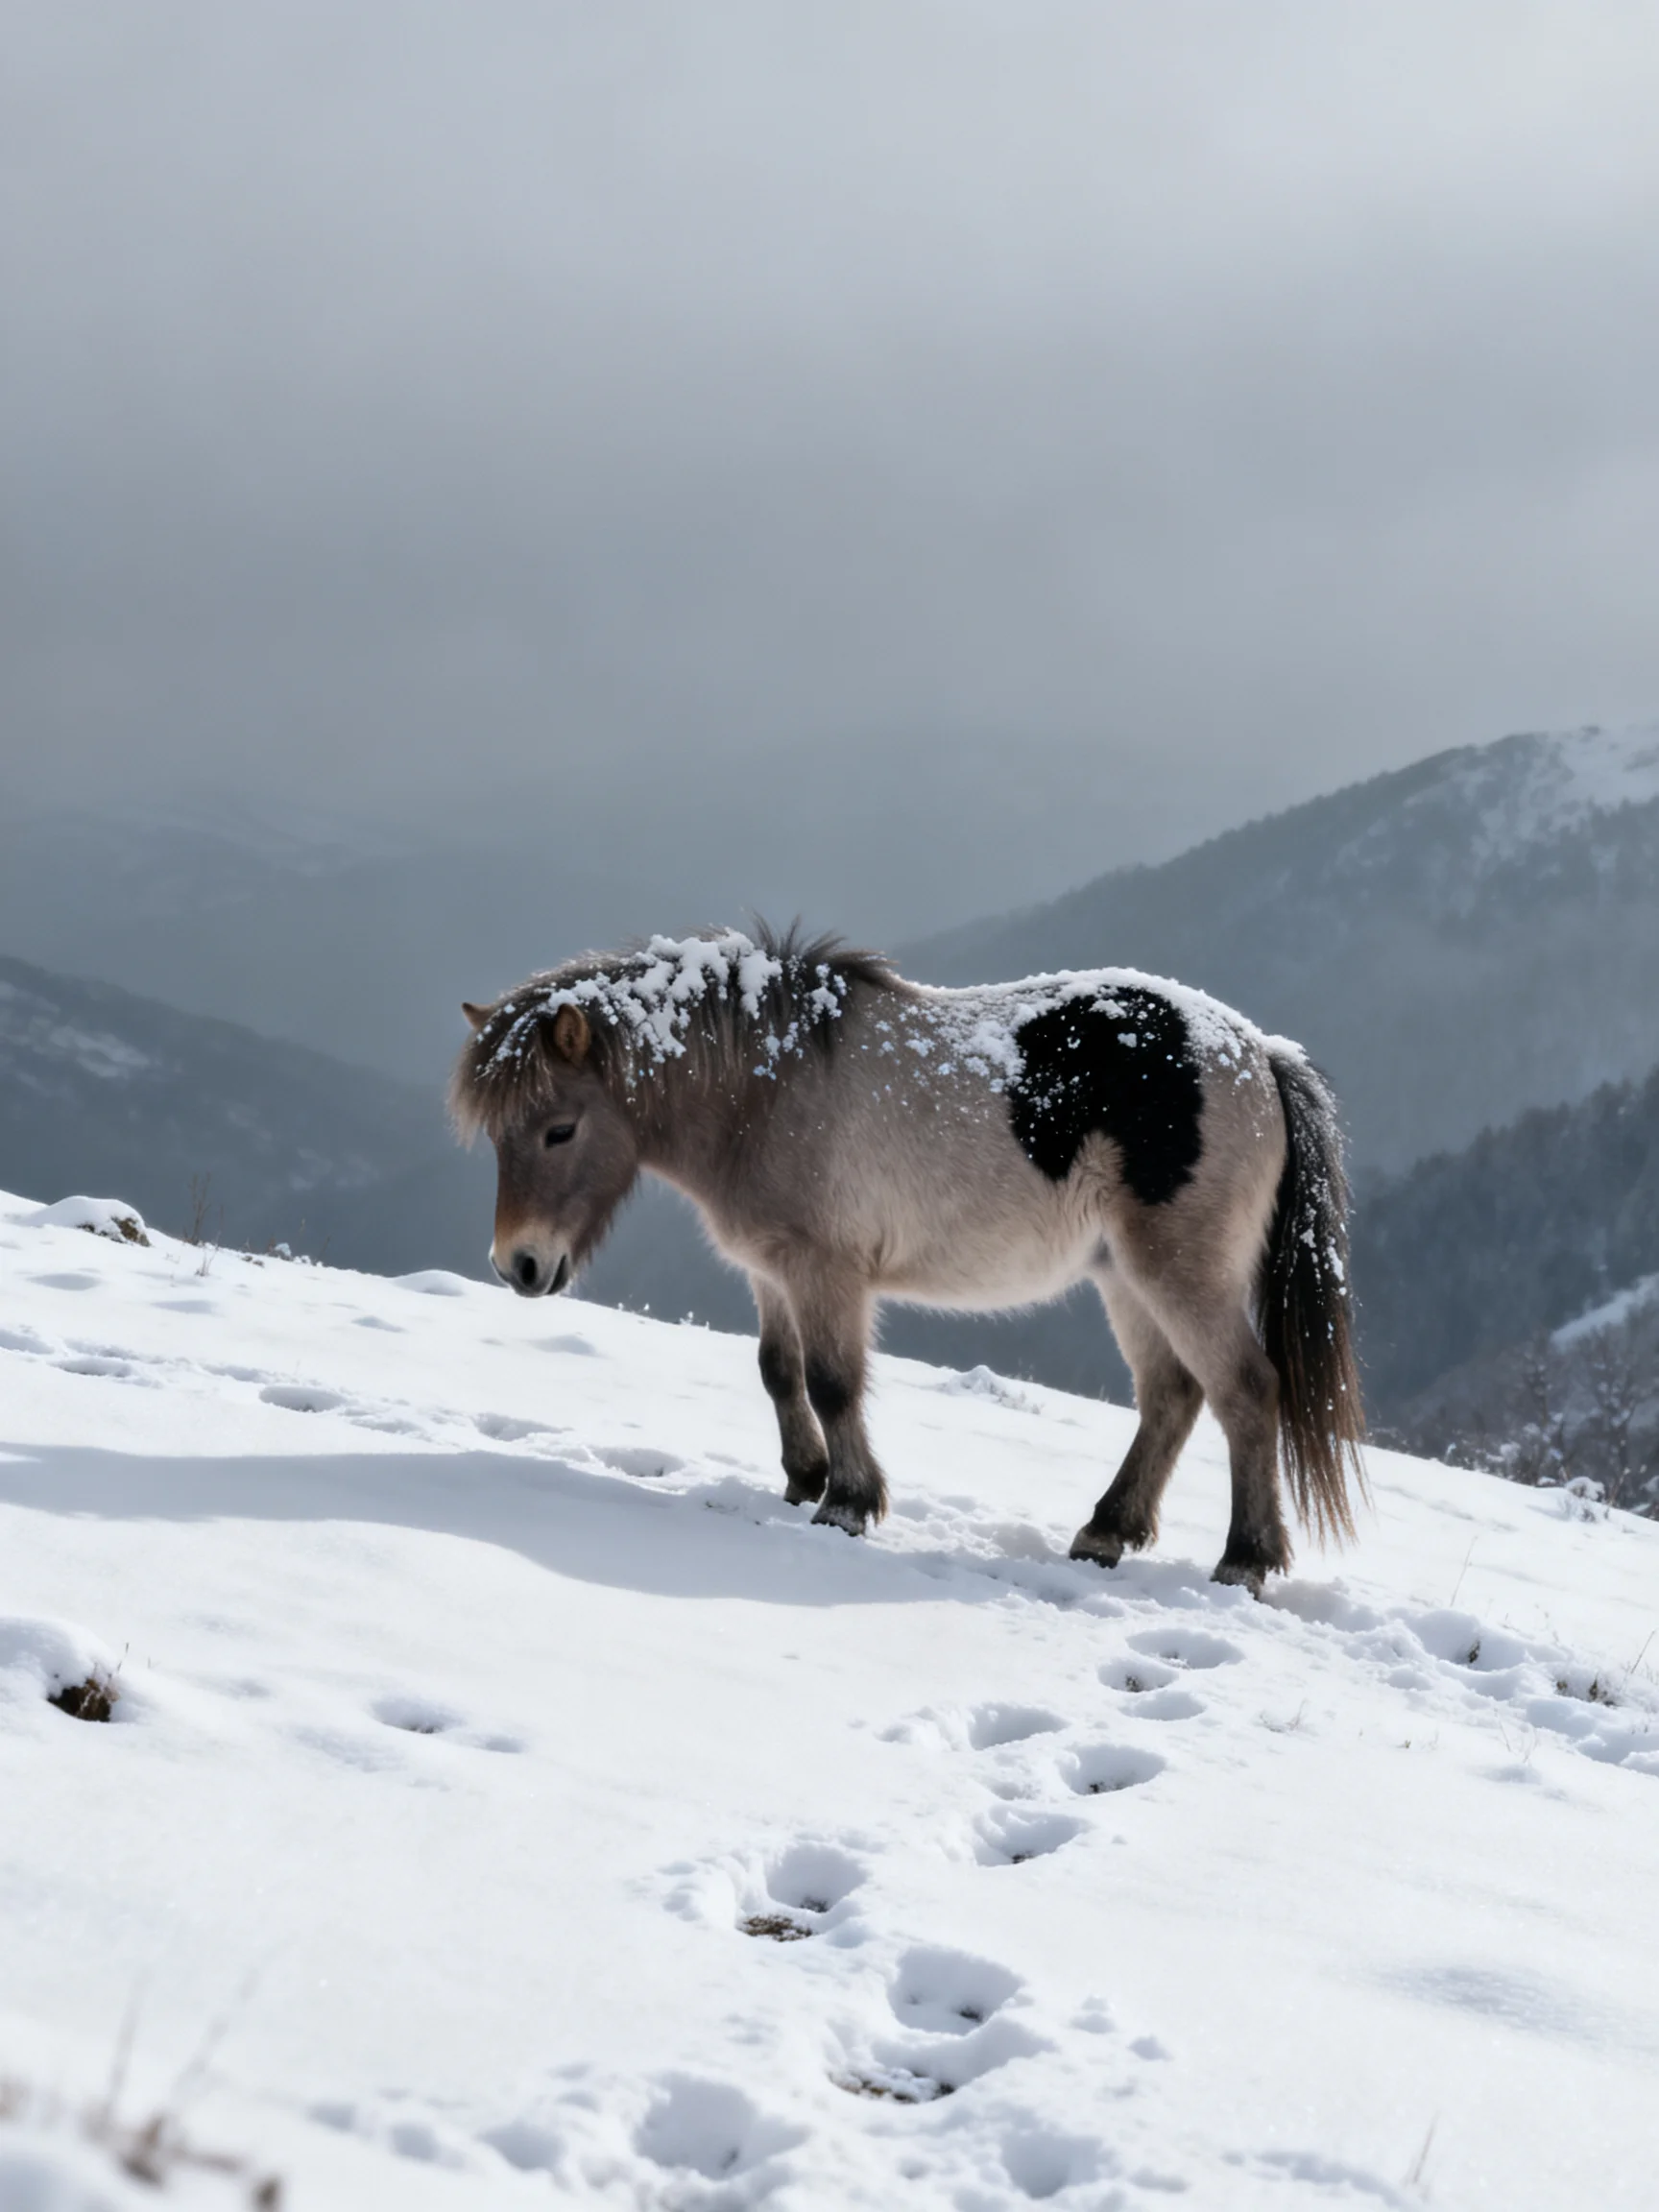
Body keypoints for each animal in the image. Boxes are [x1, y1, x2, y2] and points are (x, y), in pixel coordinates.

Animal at [450, 926, 1365, 1592]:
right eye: (499, 1135)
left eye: (560, 1129)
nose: (518, 1266)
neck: (766, 1089)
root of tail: (1261, 1055)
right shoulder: (771, 1270)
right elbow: (778, 1371)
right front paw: (804, 1478)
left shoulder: (827, 1271)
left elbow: (832, 1382)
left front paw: (848, 1504)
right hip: (1124, 1276)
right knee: (1172, 1396)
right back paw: (1106, 1531)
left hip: (1179, 1272)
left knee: (1244, 1390)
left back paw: (1243, 1559)